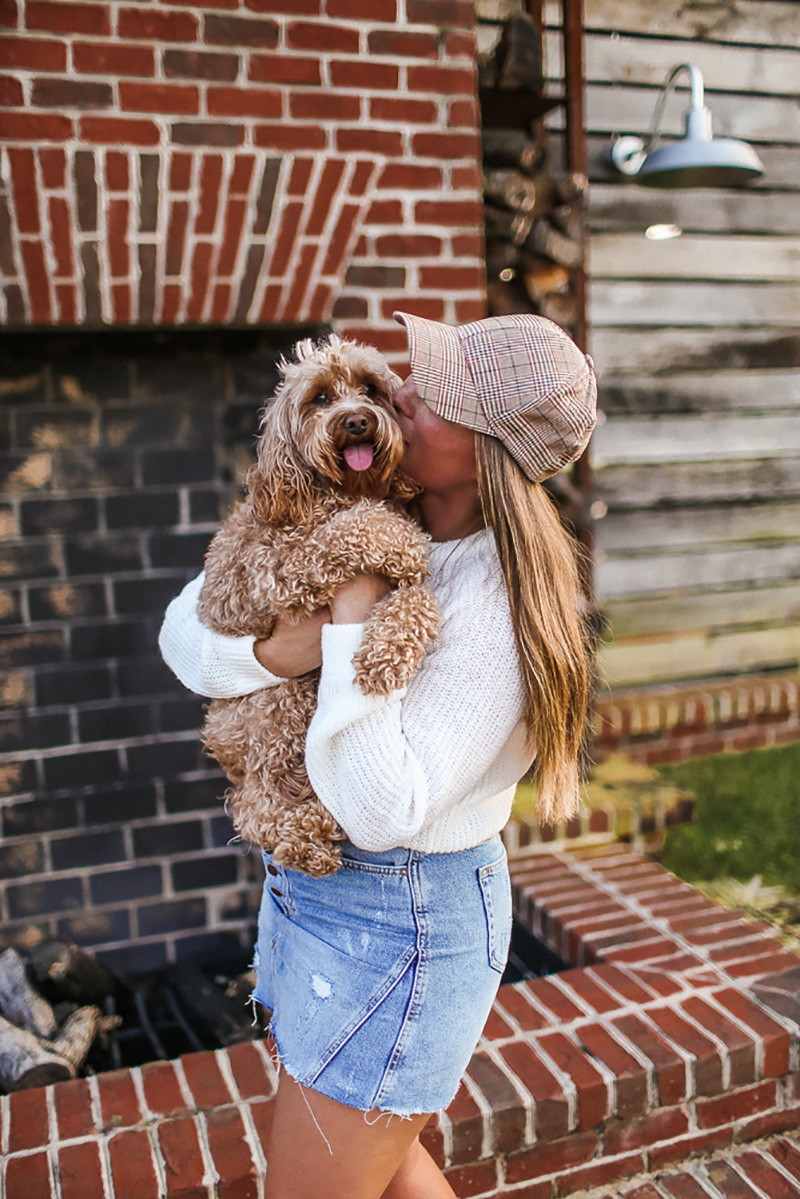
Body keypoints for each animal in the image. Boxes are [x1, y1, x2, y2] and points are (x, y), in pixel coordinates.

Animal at [196, 333, 441, 877]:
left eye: (370, 389)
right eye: (321, 398)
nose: (357, 421)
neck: (343, 491)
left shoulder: (400, 588)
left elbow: (420, 599)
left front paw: (383, 659)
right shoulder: (279, 571)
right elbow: (355, 529)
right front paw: (402, 539)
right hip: (280, 701)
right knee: (256, 804)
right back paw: (307, 835)